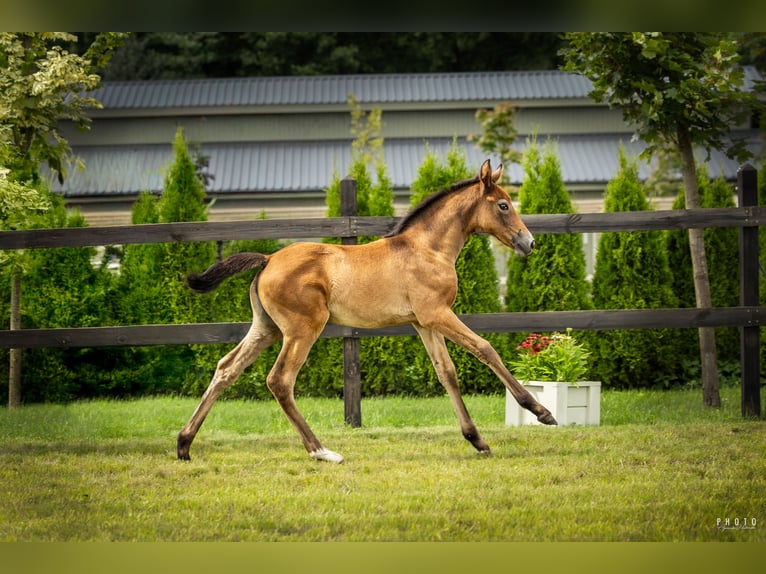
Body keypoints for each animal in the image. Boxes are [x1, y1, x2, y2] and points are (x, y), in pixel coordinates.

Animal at [177, 159, 557, 464]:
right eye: (504, 205)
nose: (529, 242)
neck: (427, 249)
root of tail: (268, 259)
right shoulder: (437, 313)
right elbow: (485, 348)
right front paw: (540, 411)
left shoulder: (423, 322)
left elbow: (446, 372)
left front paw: (477, 440)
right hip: (302, 330)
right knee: (280, 380)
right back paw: (321, 451)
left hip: (265, 328)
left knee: (227, 369)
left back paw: (184, 444)